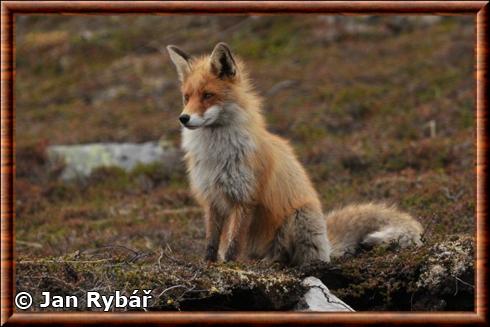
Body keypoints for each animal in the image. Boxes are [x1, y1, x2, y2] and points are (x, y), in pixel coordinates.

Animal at [167, 41, 424, 266]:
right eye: (186, 97)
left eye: (207, 95)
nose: (183, 118)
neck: (215, 155)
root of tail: (327, 247)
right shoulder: (211, 198)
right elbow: (212, 242)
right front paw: (208, 265)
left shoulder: (245, 197)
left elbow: (233, 244)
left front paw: (229, 267)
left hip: (299, 218)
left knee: (288, 257)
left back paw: (273, 263)